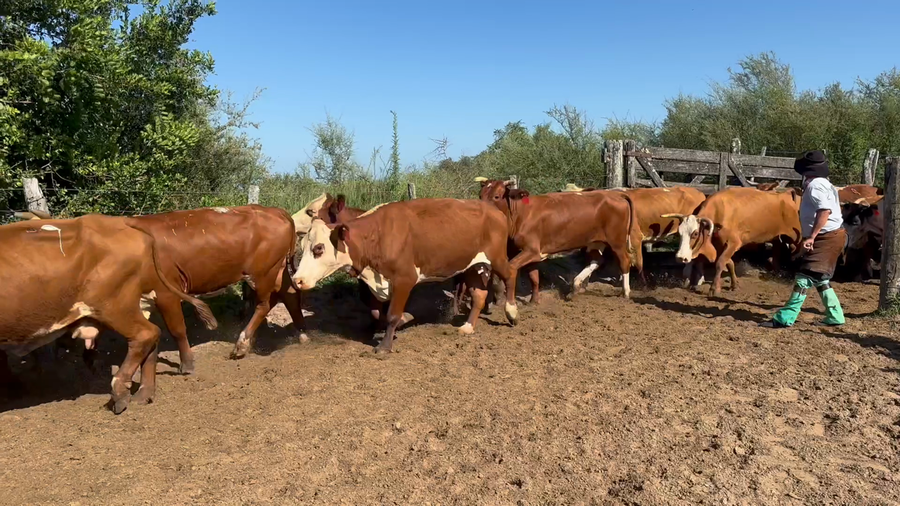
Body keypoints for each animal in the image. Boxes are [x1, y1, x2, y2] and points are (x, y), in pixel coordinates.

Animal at [0, 214, 217, 413]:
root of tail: (121, 221)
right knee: (153, 337)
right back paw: (144, 393)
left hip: (116, 306)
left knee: (148, 334)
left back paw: (121, 393)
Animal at [291, 199, 517, 353]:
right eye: (303, 247)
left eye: (319, 248)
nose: (297, 280)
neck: (376, 235)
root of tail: (494, 211)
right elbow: (378, 313)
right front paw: (401, 321)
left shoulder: (404, 280)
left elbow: (391, 315)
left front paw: (384, 346)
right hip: (471, 266)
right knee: (479, 295)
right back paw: (468, 327)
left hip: (497, 258)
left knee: (511, 274)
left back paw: (512, 312)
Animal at [476, 178, 641, 303]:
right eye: (480, 195)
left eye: (497, 196)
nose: (482, 211)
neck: (521, 214)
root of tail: (616, 195)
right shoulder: (529, 253)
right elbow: (534, 277)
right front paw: (533, 301)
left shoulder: (531, 251)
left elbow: (508, 269)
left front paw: (499, 294)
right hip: (595, 242)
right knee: (596, 261)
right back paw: (575, 287)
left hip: (617, 241)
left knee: (624, 261)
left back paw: (625, 292)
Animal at [665, 186, 802, 296]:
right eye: (679, 233)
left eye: (695, 233)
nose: (680, 257)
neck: (720, 211)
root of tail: (788, 194)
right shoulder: (720, 244)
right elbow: (729, 262)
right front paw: (734, 284)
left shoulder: (733, 243)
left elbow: (720, 263)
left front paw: (714, 288)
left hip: (797, 237)